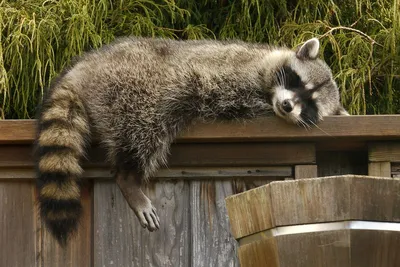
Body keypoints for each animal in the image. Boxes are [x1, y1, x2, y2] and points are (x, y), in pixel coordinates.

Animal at [34, 36, 348, 246]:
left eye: (311, 105)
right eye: (298, 82)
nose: (286, 106)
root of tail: (84, 68)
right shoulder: (240, 72)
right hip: (131, 85)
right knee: (142, 126)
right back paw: (128, 177)